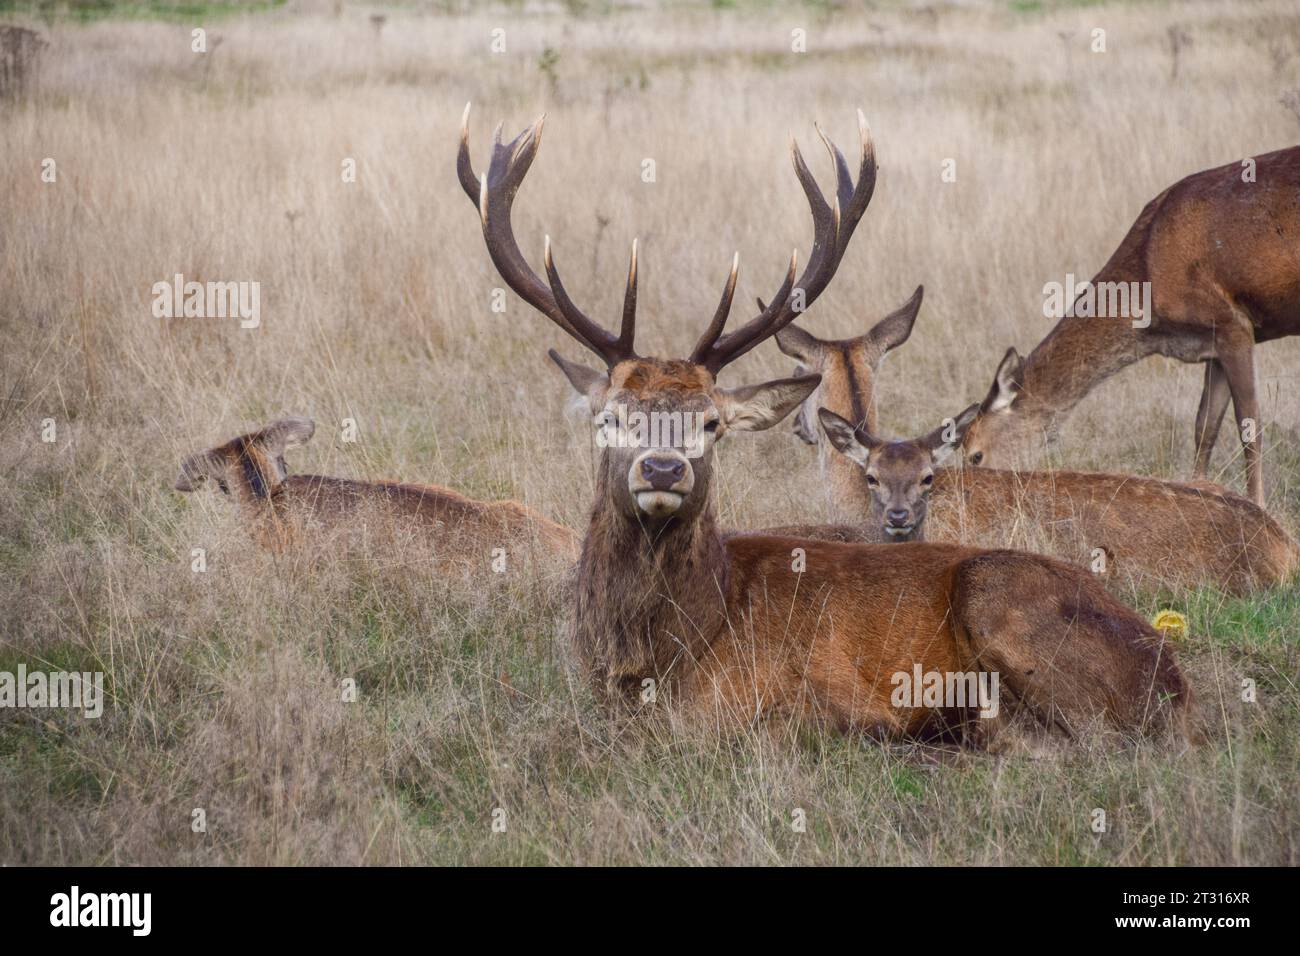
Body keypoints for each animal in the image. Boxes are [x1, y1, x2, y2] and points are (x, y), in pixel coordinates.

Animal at [458, 104, 1189, 745]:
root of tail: (1171, 675)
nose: (663, 469)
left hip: (1000, 598)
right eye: (611, 416)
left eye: (712, 423)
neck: (658, 658)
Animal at [958, 146, 1300, 507]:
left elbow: (1250, 425)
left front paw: (1258, 504)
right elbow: (1204, 427)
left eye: (976, 455)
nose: (968, 492)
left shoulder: (1233, 323)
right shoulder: (1213, 343)